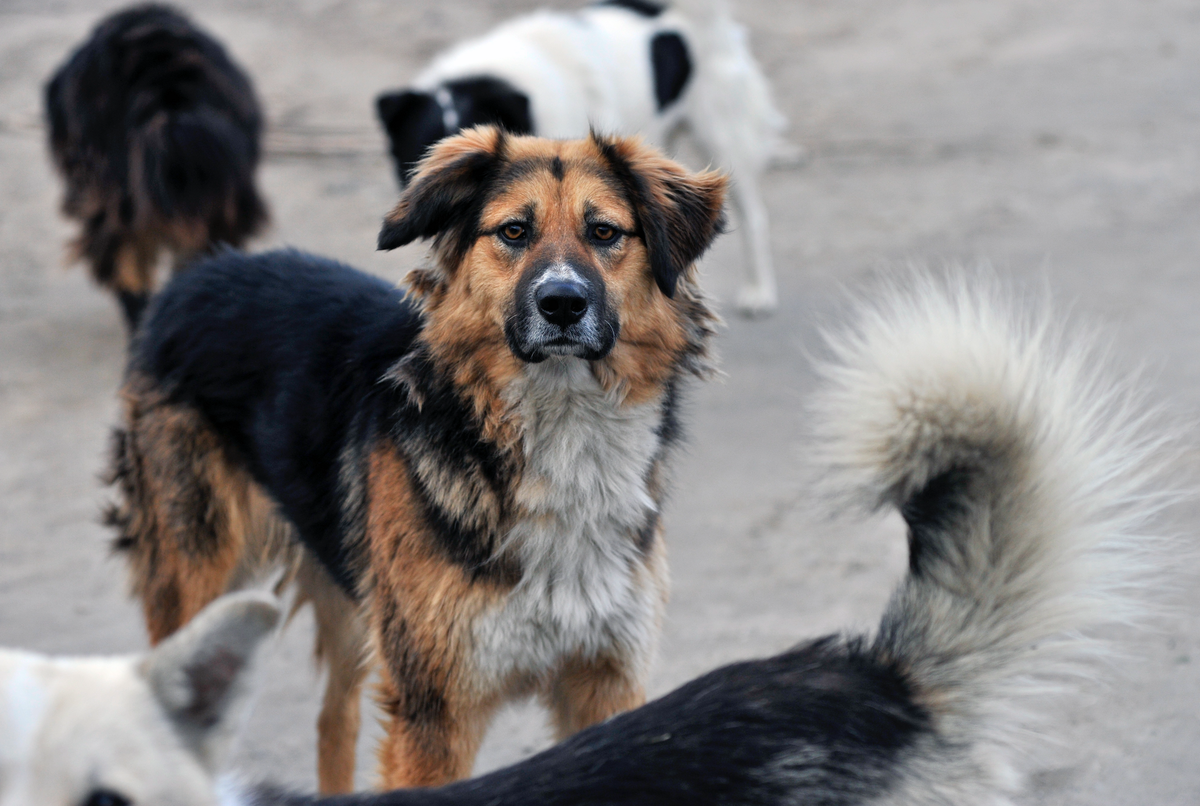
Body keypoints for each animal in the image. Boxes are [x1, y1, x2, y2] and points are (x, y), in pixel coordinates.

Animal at [105, 128, 720, 791]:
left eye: (605, 232)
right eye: (513, 231)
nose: (561, 304)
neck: (562, 426)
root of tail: (201, 273)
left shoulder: (606, 682)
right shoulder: (433, 710)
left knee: (334, 718)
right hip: (198, 574)